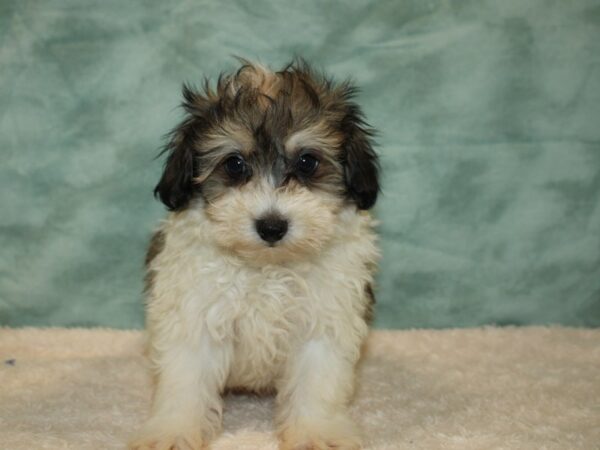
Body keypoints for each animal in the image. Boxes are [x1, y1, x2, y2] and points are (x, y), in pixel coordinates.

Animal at [131, 59, 380, 450]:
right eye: (234, 164)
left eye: (307, 162)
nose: (272, 226)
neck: (267, 267)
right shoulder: (195, 314)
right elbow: (185, 379)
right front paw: (173, 430)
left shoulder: (323, 320)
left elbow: (317, 380)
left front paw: (316, 431)